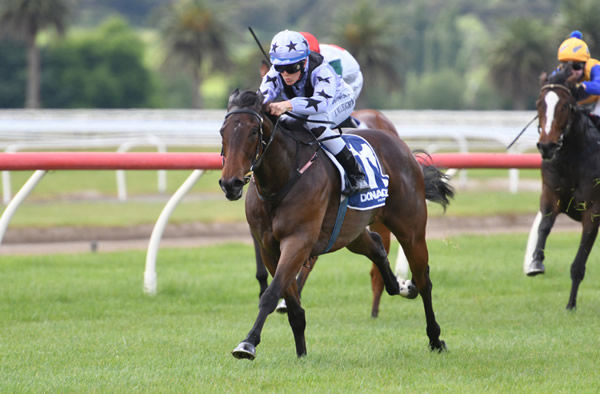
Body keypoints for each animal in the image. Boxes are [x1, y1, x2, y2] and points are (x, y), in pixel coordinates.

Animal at [219, 90, 450, 360]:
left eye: (254, 131)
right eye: (223, 131)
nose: (231, 183)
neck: (283, 179)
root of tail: (402, 147)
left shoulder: (298, 241)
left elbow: (272, 293)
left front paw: (248, 343)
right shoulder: (269, 248)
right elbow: (292, 301)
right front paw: (301, 353)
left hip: (411, 229)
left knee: (424, 280)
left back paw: (435, 337)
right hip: (351, 233)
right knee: (376, 247)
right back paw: (401, 286)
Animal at [524, 64, 600, 310]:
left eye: (565, 105)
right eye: (539, 103)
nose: (547, 146)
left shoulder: (593, 210)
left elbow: (579, 262)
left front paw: (570, 305)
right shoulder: (551, 194)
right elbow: (544, 226)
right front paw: (536, 262)